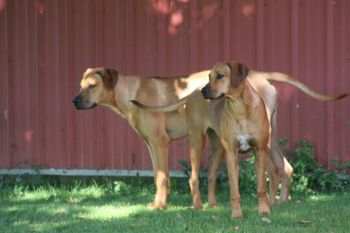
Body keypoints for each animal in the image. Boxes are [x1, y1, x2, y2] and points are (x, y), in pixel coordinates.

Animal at [131, 60, 348, 215]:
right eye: (209, 76)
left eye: (220, 76)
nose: (205, 91)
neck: (240, 108)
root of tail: (191, 94)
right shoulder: (232, 154)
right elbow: (234, 190)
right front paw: (237, 215)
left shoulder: (259, 151)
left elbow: (261, 186)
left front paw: (264, 211)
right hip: (200, 141)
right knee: (195, 176)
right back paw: (199, 206)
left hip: (235, 144)